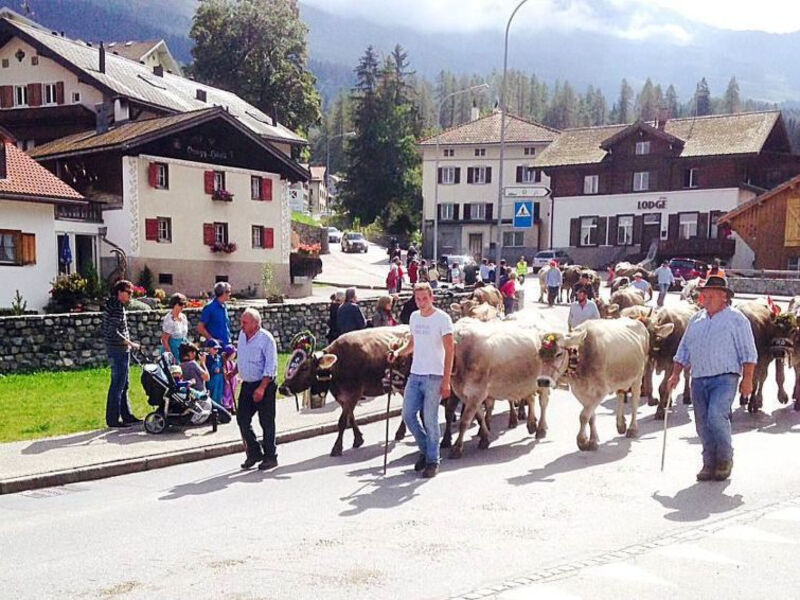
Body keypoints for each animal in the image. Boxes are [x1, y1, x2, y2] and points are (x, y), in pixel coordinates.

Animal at [276, 326, 412, 458]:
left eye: (304, 367)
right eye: (288, 363)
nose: (282, 388)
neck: (338, 365)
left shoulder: (354, 394)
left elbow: (342, 421)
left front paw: (337, 448)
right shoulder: (342, 397)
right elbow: (350, 418)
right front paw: (358, 439)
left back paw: (400, 432)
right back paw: (401, 432)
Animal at [450, 316, 552, 458]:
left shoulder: (476, 393)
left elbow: (464, 421)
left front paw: (457, 448)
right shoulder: (467, 395)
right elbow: (479, 417)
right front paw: (484, 438)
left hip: (543, 381)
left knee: (543, 403)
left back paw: (541, 429)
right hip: (527, 382)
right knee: (531, 399)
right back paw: (531, 424)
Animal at [536, 318, 652, 450]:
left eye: (559, 354)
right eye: (539, 354)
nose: (543, 381)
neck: (582, 358)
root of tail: (639, 323)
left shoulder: (601, 391)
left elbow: (583, 416)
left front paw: (582, 441)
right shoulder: (579, 392)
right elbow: (591, 416)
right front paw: (592, 440)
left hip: (638, 377)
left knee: (634, 402)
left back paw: (632, 428)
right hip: (620, 378)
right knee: (620, 395)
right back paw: (621, 424)